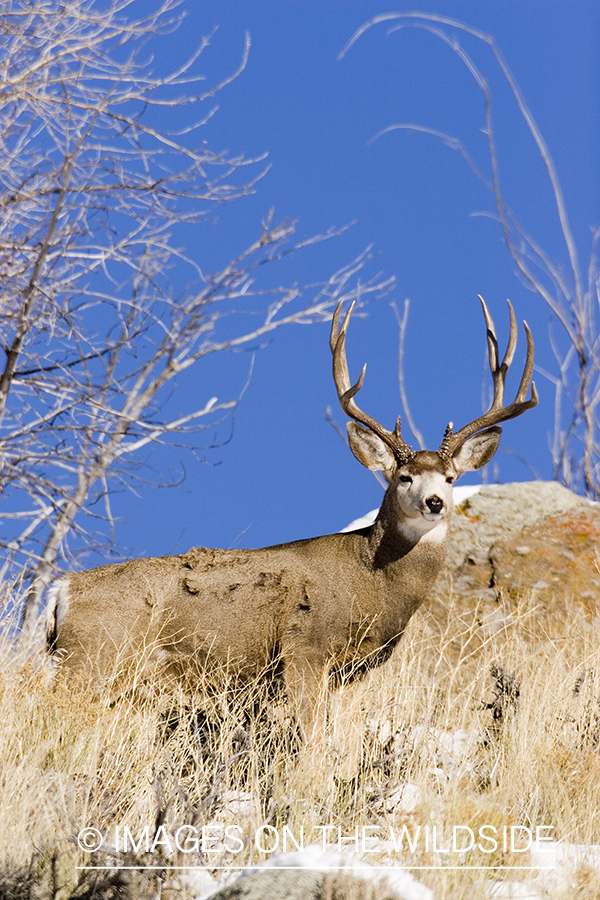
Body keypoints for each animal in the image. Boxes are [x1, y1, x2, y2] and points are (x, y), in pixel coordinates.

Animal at [45, 296, 537, 743]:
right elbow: (312, 737)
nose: (435, 502)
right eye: (404, 477)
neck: (371, 580)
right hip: (90, 657)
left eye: (452, 477)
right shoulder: (304, 650)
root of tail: (62, 589)